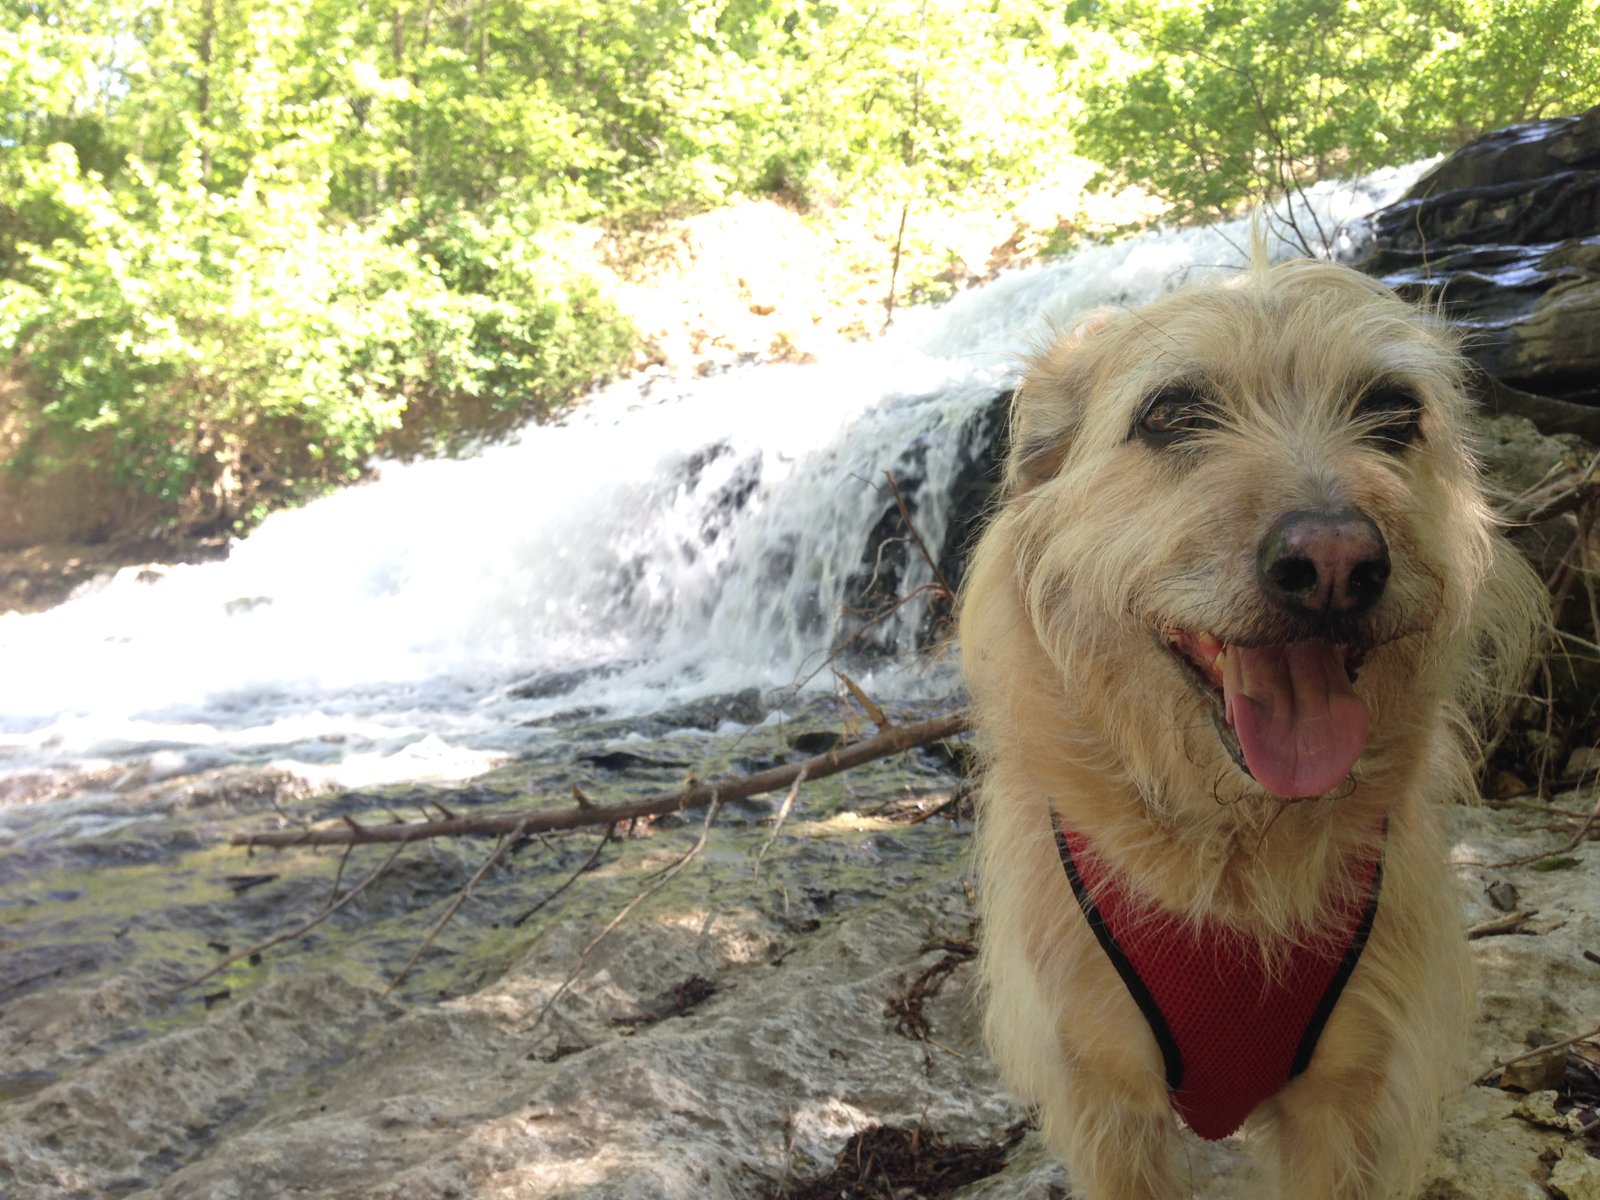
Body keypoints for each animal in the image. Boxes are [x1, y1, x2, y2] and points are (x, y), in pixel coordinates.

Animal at [953, 260, 1542, 1200]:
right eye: (1170, 414)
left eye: (1394, 412)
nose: (1335, 562)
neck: (1237, 857)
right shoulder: (1107, 1099)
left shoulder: (1353, 1101)